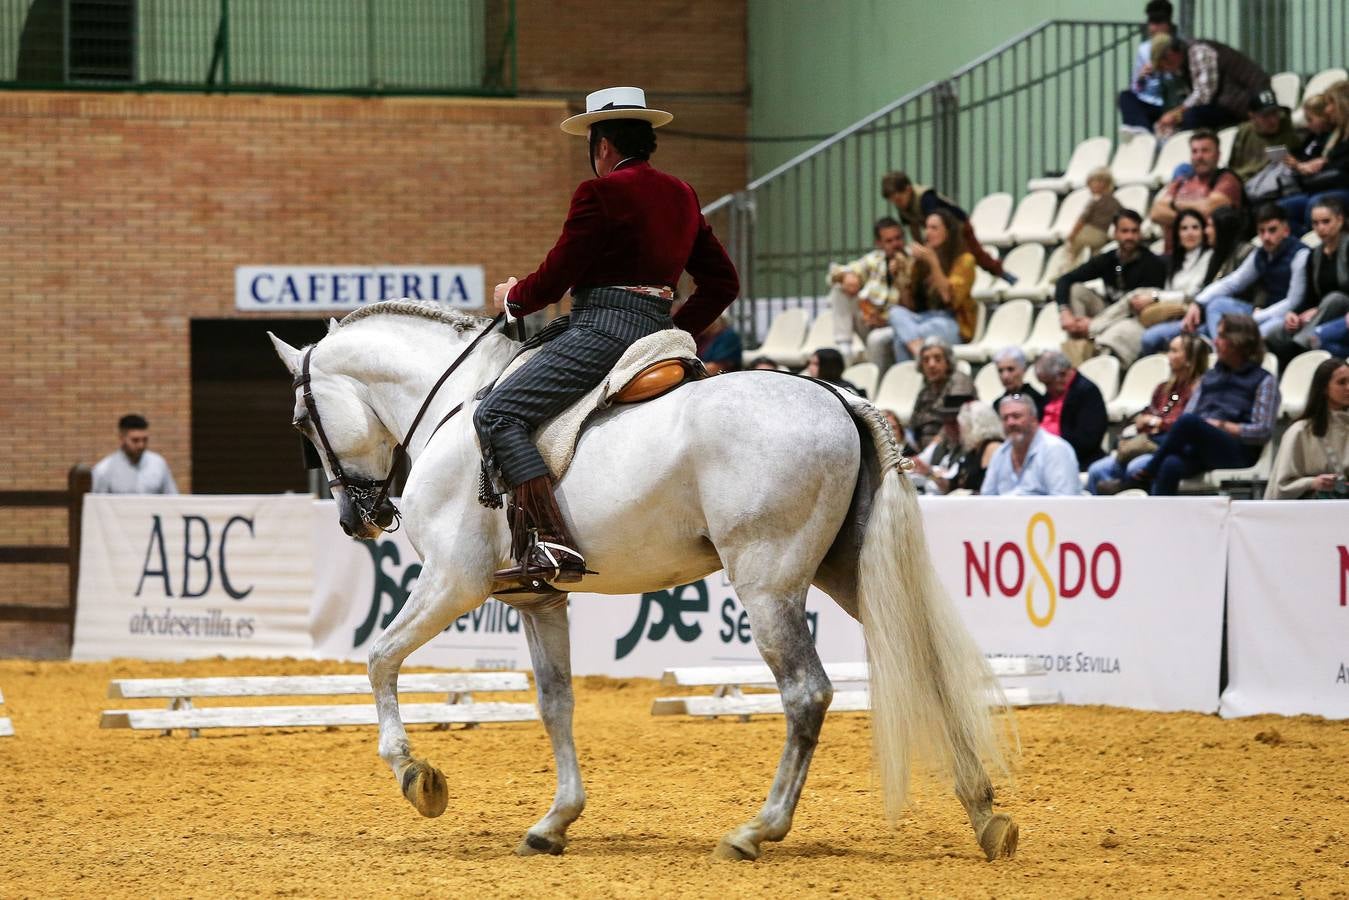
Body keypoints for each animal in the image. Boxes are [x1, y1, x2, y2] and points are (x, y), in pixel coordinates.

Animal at [268, 304, 1014, 863]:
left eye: (303, 422)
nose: (357, 520)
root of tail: (836, 395)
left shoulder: (454, 581)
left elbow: (378, 658)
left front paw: (414, 775)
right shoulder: (536, 596)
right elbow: (555, 703)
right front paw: (554, 822)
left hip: (767, 583)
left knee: (806, 693)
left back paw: (756, 830)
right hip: (847, 572)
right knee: (925, 667)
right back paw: (985, 815)